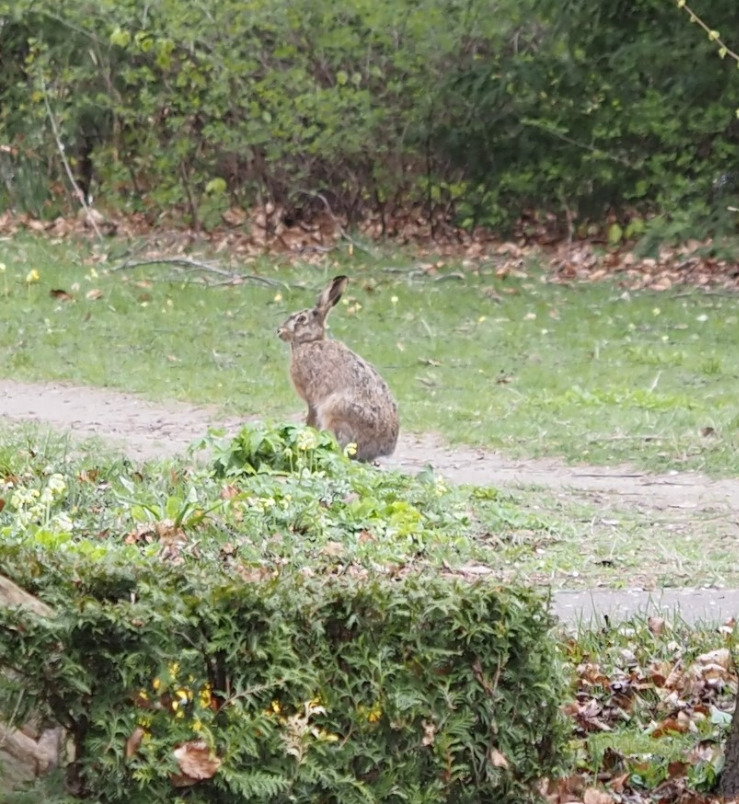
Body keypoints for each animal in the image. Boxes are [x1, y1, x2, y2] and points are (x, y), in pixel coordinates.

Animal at [277, 275, 399, 462]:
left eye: (301, 319)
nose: (279, 331)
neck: (310, 342)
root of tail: (380, 451)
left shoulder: (312, 399)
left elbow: (311, 418)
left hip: (334, 410)